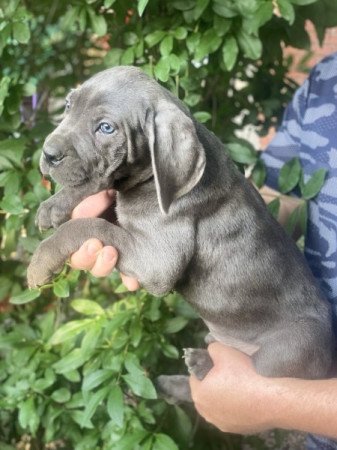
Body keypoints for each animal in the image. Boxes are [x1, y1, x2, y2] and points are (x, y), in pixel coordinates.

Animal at [27, 65, 334, 402]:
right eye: (68, 105)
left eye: (106, 128)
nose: (48, 153)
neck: (147, 178)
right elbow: (101, 205)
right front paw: (56, 205)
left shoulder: (157, 260)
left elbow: (91, 225)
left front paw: (41, 261)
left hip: (290, 349)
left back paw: (201, 364)